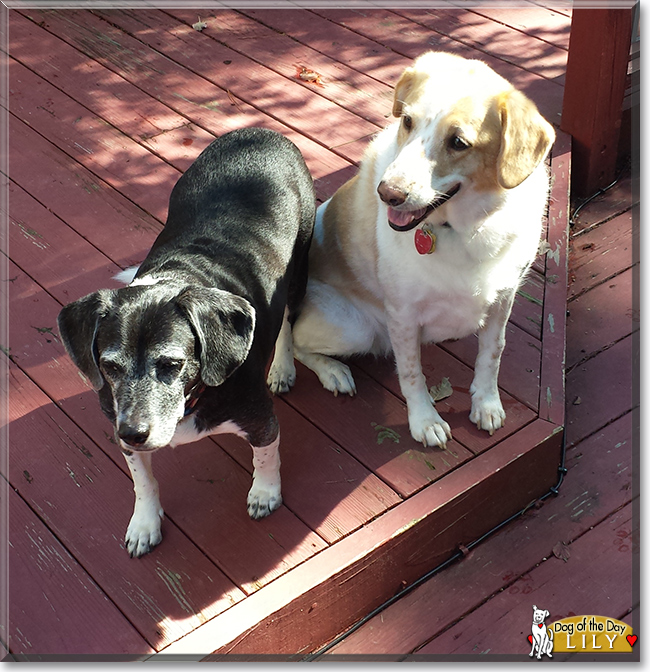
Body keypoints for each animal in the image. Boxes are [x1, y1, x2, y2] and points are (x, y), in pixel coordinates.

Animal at [288, 52, 552, 446]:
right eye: (407, 121)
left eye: (458, 142)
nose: (387, 194)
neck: (466, 227)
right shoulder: (403, 314)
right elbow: (412, 374)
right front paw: (425, 421)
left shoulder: (503, 299)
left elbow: (493, 353)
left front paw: (486, 403)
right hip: (356, 329)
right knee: (293, 341)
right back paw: (331, 371)